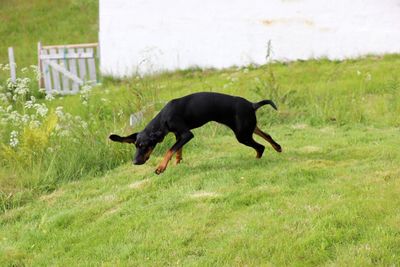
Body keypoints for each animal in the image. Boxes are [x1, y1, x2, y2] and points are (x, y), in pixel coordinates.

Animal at [109, 92, 282, 176]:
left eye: (145, 146)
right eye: (135, 145)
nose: (135, 162)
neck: (164, 117)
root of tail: (252, 104)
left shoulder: (187, 135)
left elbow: (169, 150)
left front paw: (161, 167)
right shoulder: (179, 135)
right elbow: (177, 150)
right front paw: (178, 162)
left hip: (242, 135)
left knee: (260, 147)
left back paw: (256, 160)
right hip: (247, 128)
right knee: (266, 135)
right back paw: (277, 147)